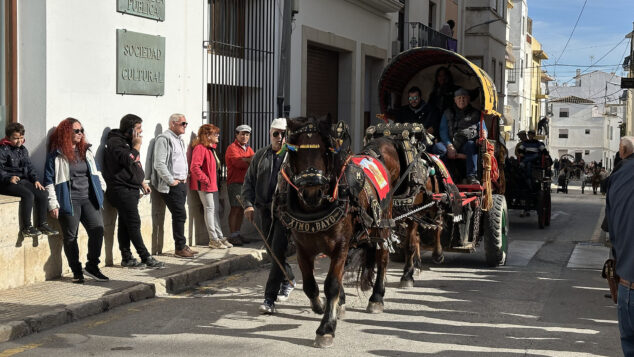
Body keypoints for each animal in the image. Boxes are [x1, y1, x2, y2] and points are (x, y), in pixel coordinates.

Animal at [274, 116, 398, 348]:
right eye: (296, 152)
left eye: (326, 152)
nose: (312, 192)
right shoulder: (303, 248)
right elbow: (310, 284)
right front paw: (320, 306)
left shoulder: (340, 246)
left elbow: (331, 283)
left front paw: (326, 328)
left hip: (382, 225)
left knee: (383, 257)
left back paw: (377, 298)